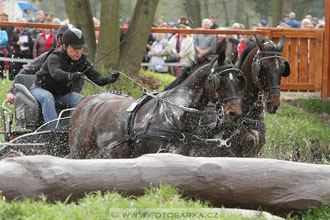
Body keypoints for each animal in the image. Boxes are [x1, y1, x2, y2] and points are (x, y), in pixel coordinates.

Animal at [67, 49, 246, 159]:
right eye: (221, 81)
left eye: (238, 80)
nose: (235, 113)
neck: (173, 115)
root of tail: (86, 101)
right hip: (79, 151)